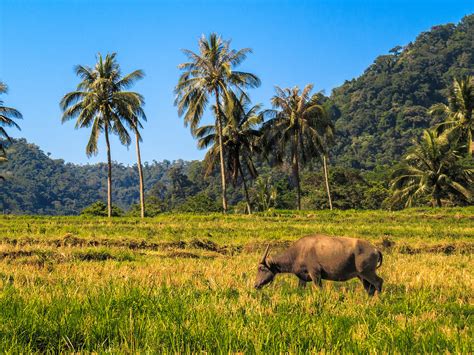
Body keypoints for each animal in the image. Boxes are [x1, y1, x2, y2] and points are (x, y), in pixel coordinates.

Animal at [254, 235, 384, 296]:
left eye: (261, 268)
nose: (256, 285)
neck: (299, 251)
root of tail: (375, 249)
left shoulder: (315, 274)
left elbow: (319, 289)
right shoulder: (303, 278)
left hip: (367, 273)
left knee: (378, 282)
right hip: (361, 276)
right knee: (370, 288)